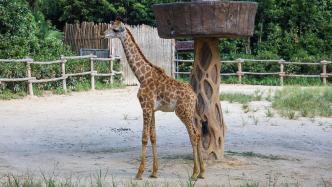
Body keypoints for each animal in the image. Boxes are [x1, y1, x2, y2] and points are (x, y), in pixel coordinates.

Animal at [104, 18, 205, 180]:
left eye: (115, 30)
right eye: (111, 26)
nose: (104, 34)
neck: (141, 76)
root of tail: (194, 96)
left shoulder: (145, 106)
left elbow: (144, 137)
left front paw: (139, 173)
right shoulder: (153, 109)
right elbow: (153, 137)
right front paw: (154, 172)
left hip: (182, 112)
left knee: (194, 135)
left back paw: (195, 173)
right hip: (191, 113)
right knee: (198, 133)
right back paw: (202, 172)